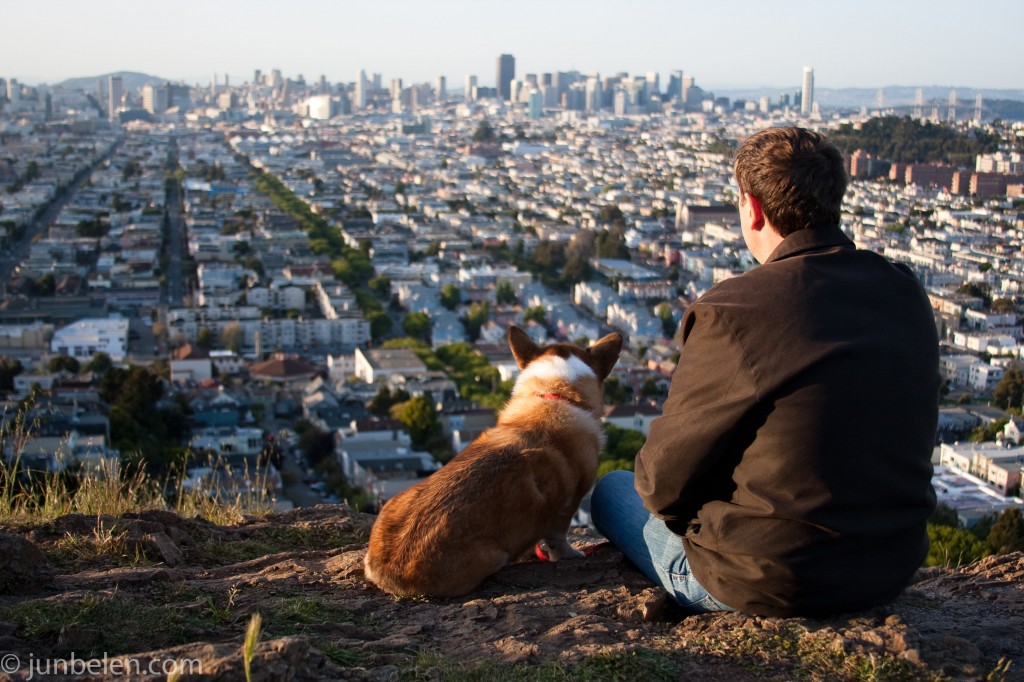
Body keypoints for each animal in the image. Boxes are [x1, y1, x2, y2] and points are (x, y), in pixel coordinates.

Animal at [364, 323, 618, 593]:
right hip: (494, 556)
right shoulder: (568, 504)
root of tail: (388, 571)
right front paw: (569, 556)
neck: (553, 393)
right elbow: (558, 538)